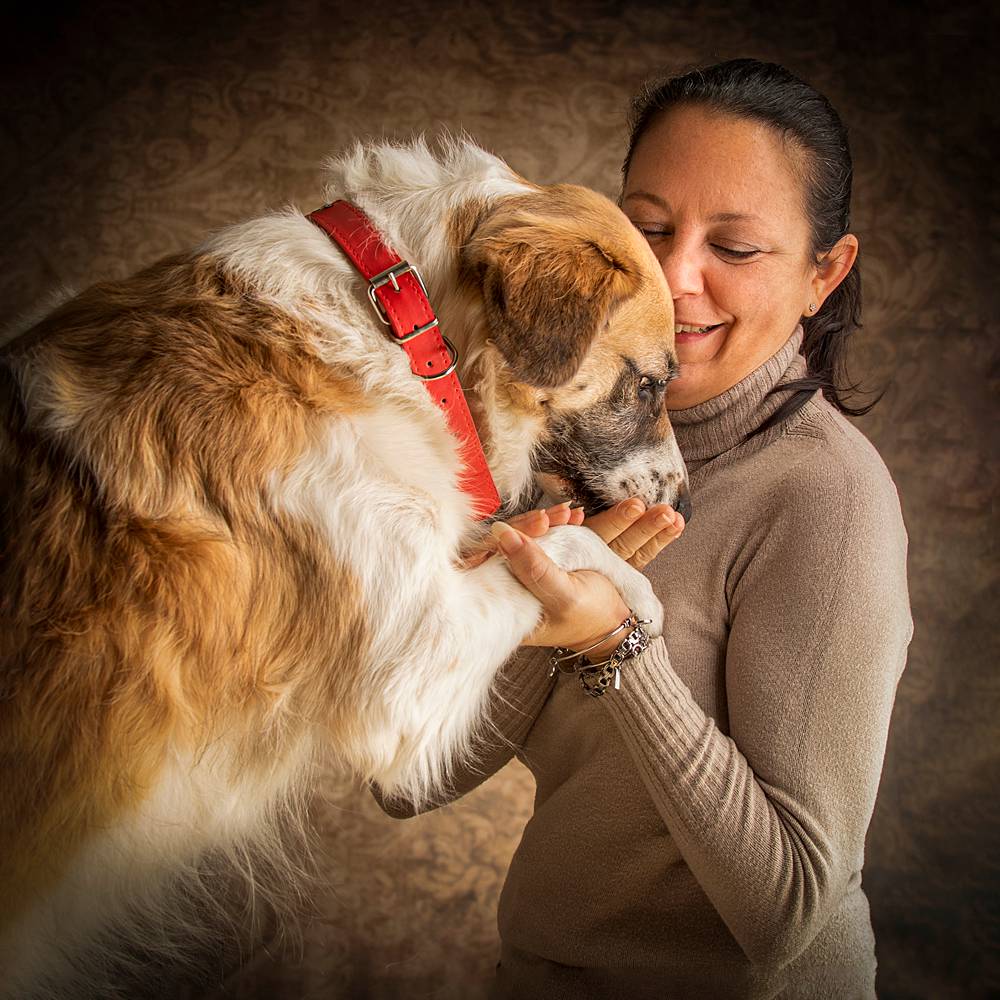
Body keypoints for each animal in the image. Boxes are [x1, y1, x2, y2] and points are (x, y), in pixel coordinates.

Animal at [0, 137, 688, 996]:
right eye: (650, 383)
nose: (686, 493)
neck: (395, 331)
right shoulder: (412, 667)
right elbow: (567, 545)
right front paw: (636, 596)